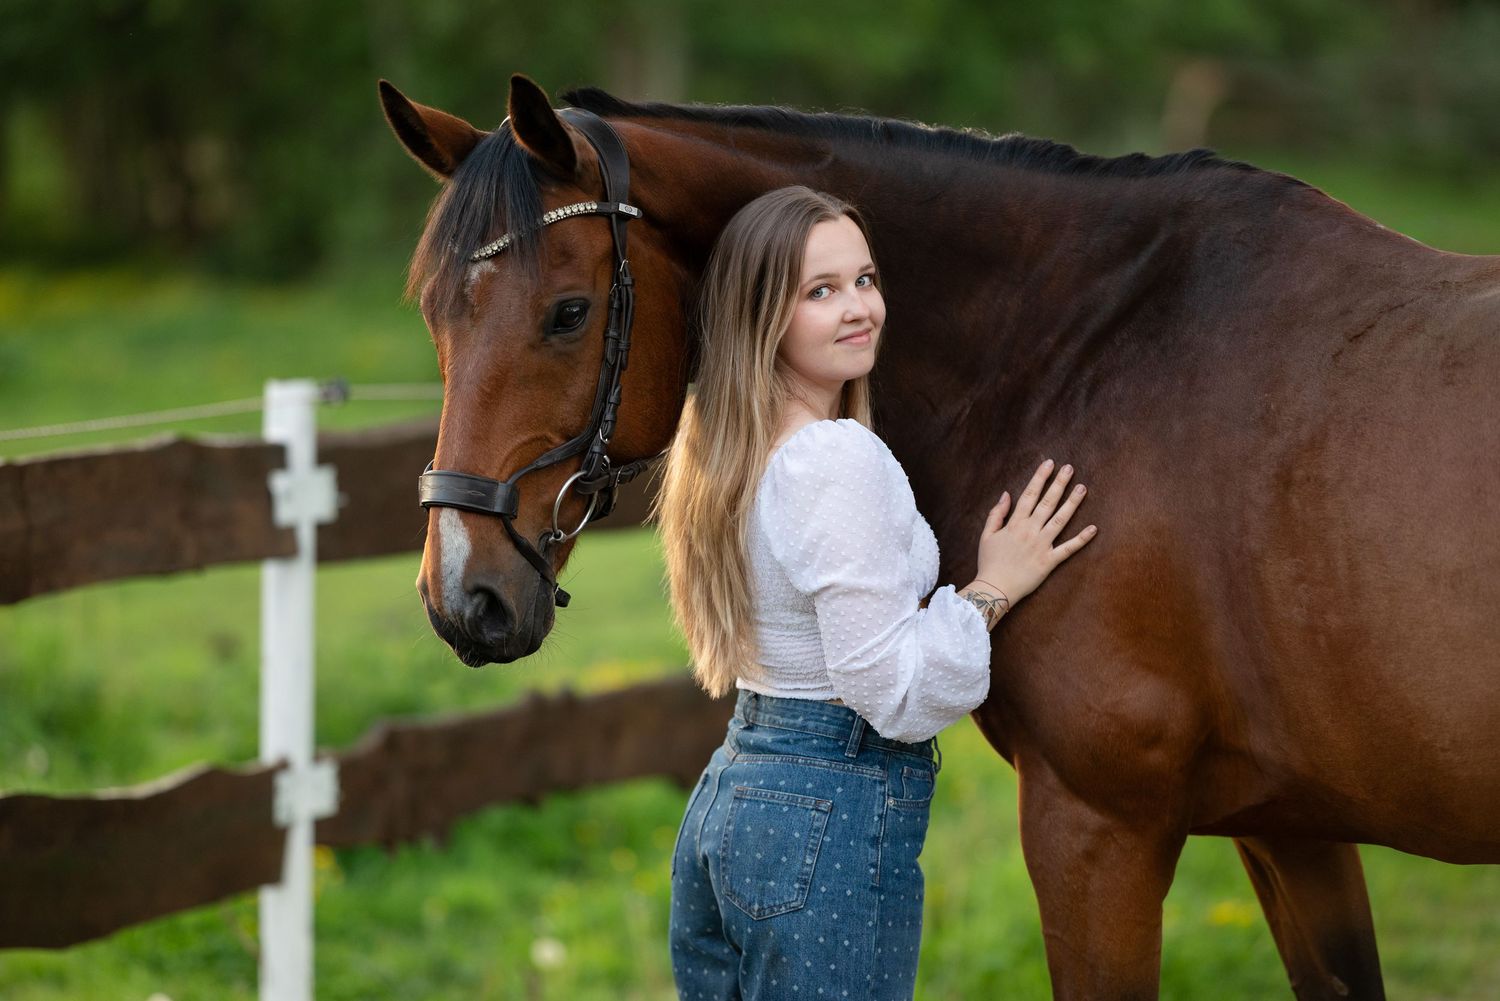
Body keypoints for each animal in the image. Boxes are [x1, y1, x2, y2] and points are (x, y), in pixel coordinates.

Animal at [379, 73, 1500, 1000]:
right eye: (432, 314)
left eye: (568, 313)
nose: (464, 596)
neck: (1090, 350)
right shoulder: (1293, 827)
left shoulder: (1097, 825)